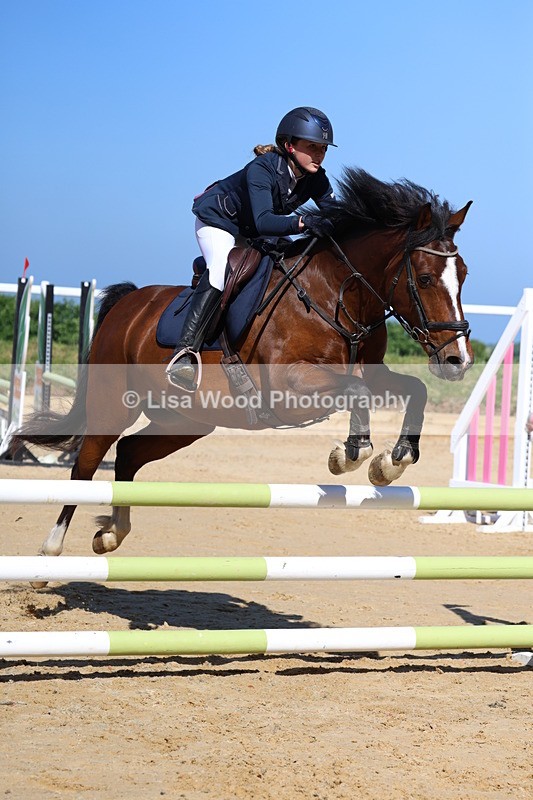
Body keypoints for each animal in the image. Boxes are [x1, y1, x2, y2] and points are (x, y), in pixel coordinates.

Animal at [13, 168, 474, 563]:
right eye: (425, 278)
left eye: (464, 275)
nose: (457, 360)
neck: (338, 294)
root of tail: (128, 304)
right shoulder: (291, 386)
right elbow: (358, 396)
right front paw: (349, 456)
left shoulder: (371, 372)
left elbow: (416, 390)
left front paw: (392, 462)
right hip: (113, 406)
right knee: (86, 463)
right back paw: (50, 550)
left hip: (185, 421)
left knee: (127, 453)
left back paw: (111, 533)